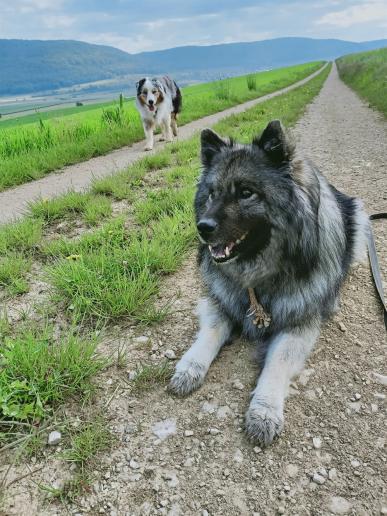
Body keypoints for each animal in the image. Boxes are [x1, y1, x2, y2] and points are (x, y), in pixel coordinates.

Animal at [170, 121, 370, 448]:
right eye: (212, 194)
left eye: (246, 193)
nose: (203, 227)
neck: (258, 273)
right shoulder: (221, 302)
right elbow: (210, 334)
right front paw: (189, 368)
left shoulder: (299, 324)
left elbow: (276, 364)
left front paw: (263, 412)